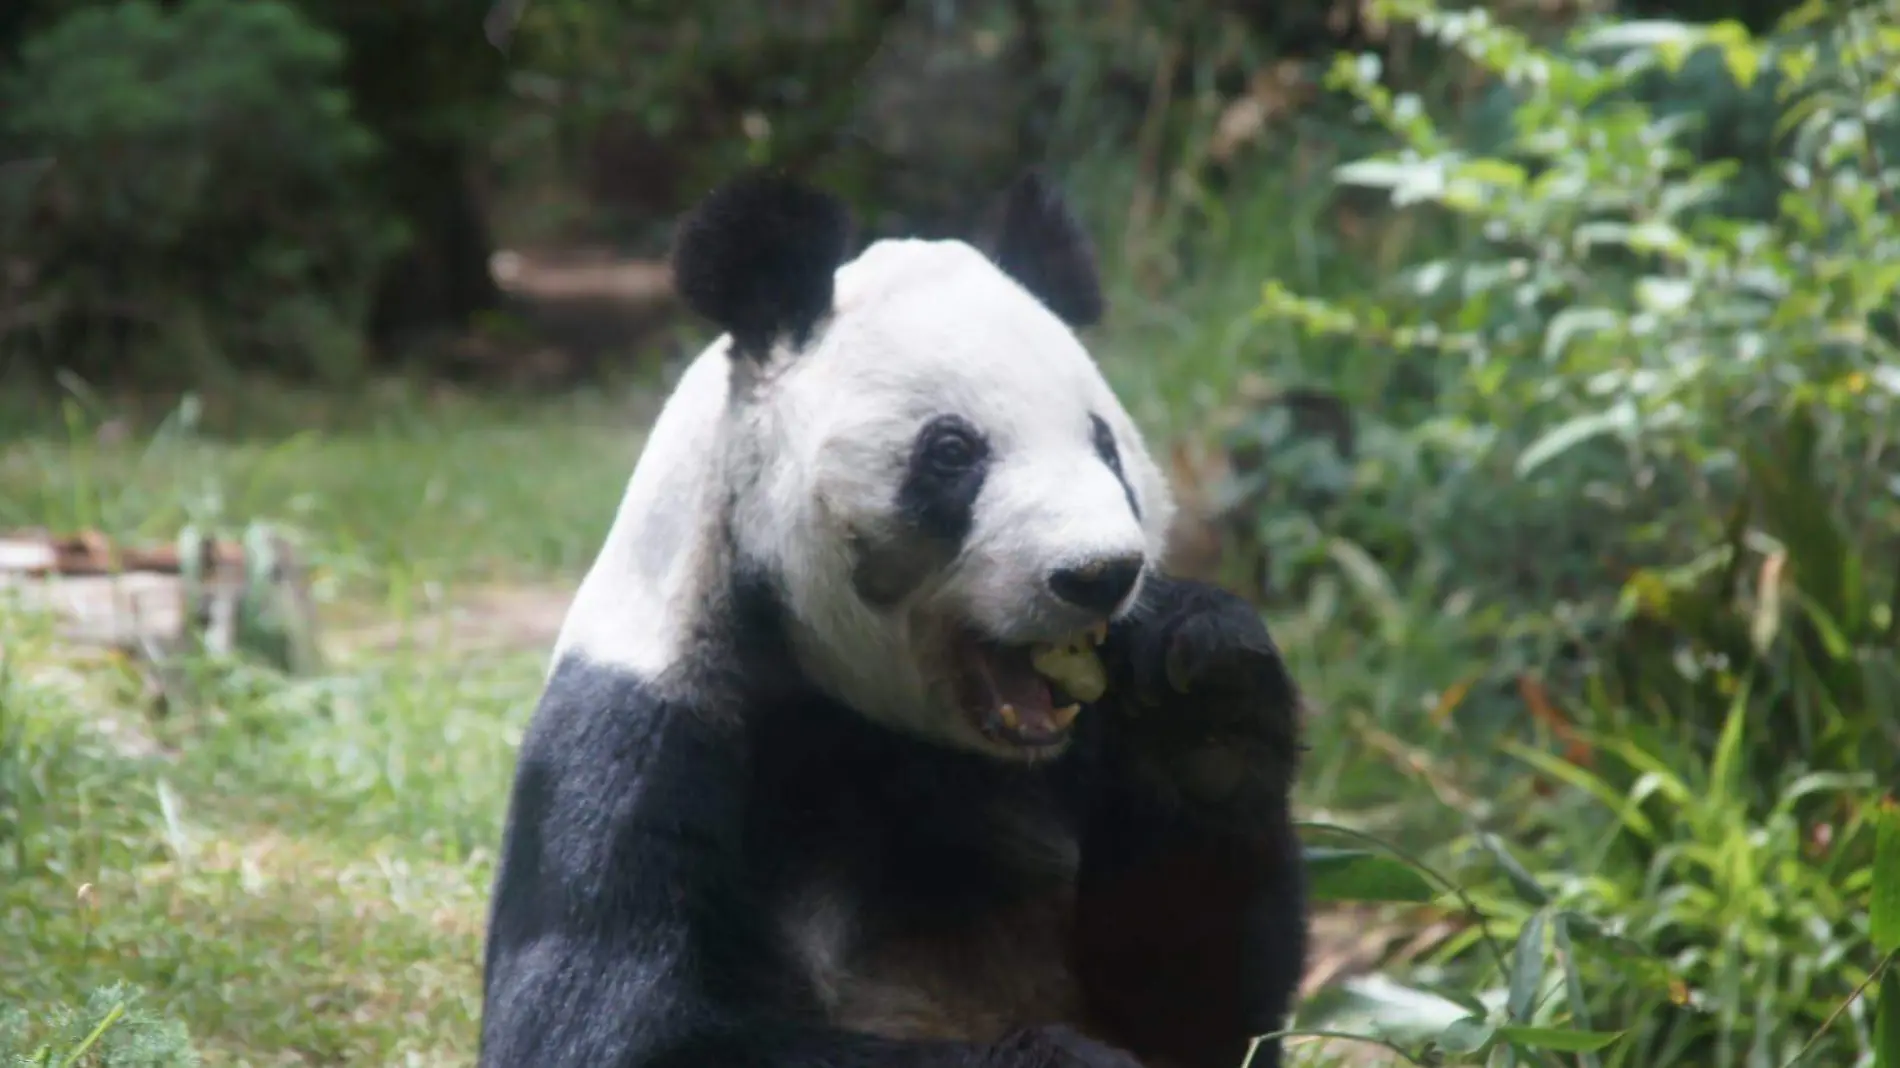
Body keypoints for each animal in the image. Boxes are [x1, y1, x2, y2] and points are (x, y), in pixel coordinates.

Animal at [475, 170, 1307, 1056]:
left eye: (1106, 446)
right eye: (951, 453)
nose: (1099, 574)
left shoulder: (1081, 744)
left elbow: (1198, 1005)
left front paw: (1203, 695)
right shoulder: (647, 724)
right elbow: (609, 1025)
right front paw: (1058, 1055)